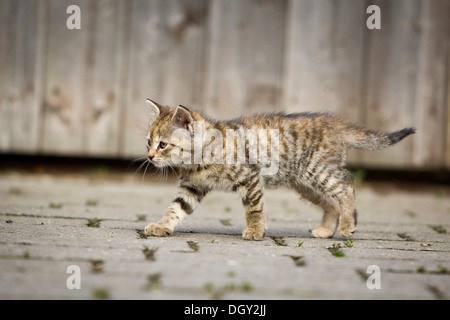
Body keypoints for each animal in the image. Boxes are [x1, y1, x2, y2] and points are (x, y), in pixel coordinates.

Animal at [143, 100, 414, 240]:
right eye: (148, 142)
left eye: (163, 144)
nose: (149, 156)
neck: (199, 160)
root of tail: (333, 123)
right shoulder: (192, 187)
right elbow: (175, 208)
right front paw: (162, 225)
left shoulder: (250, 177)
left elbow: (254, 208)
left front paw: (255, 230)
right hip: (304, 184)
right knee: (331, 202)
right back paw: (327, 230)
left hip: (318, 170)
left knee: (346, 186)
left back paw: (348, 225)